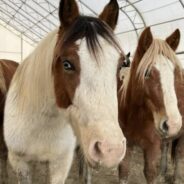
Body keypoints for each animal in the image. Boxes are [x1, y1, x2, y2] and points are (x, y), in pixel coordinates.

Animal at [118, 27, 183, 184]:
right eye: (146, 73)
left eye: (174, 72)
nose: (173, 123)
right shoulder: (127, 144)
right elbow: (124, 171)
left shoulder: (152, 148)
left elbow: (150, 172)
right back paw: (163, 173)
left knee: (179, 153)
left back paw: (177, 178)